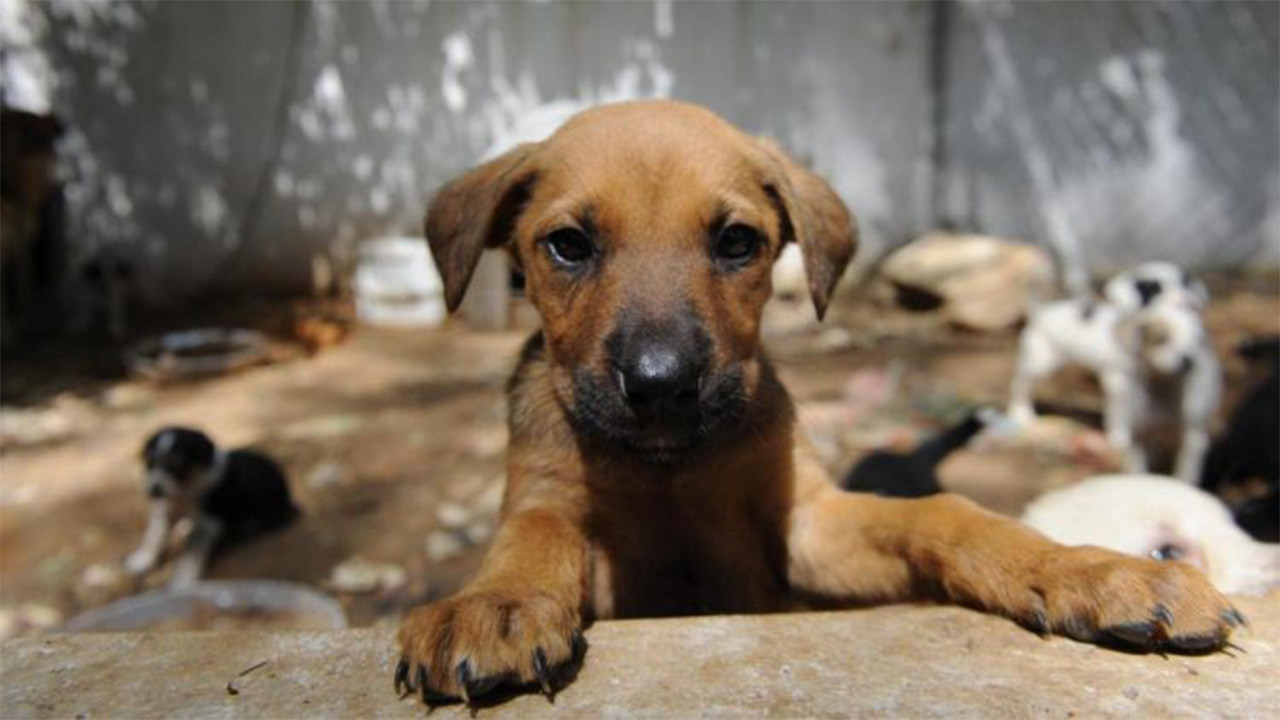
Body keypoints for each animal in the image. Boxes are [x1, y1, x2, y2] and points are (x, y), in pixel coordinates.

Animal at [122, 425, 296, 584]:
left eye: (177, 463)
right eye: (150, 463)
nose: (154, 491)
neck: (185, 490)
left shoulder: (209, 524)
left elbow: (191, 553)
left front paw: (183, 581)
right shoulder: (165, 511)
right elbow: (153, 538)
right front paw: (141, 561)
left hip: (270, 509)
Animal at [396, 101, 1239, 702]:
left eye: (737, 242)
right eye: (567, 245)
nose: (663, 387)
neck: (669, 469)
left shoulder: (806, 525)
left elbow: (944, 515)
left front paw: (1089, 569)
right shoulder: (560, 510)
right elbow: (535, 533)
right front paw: (498, 602)